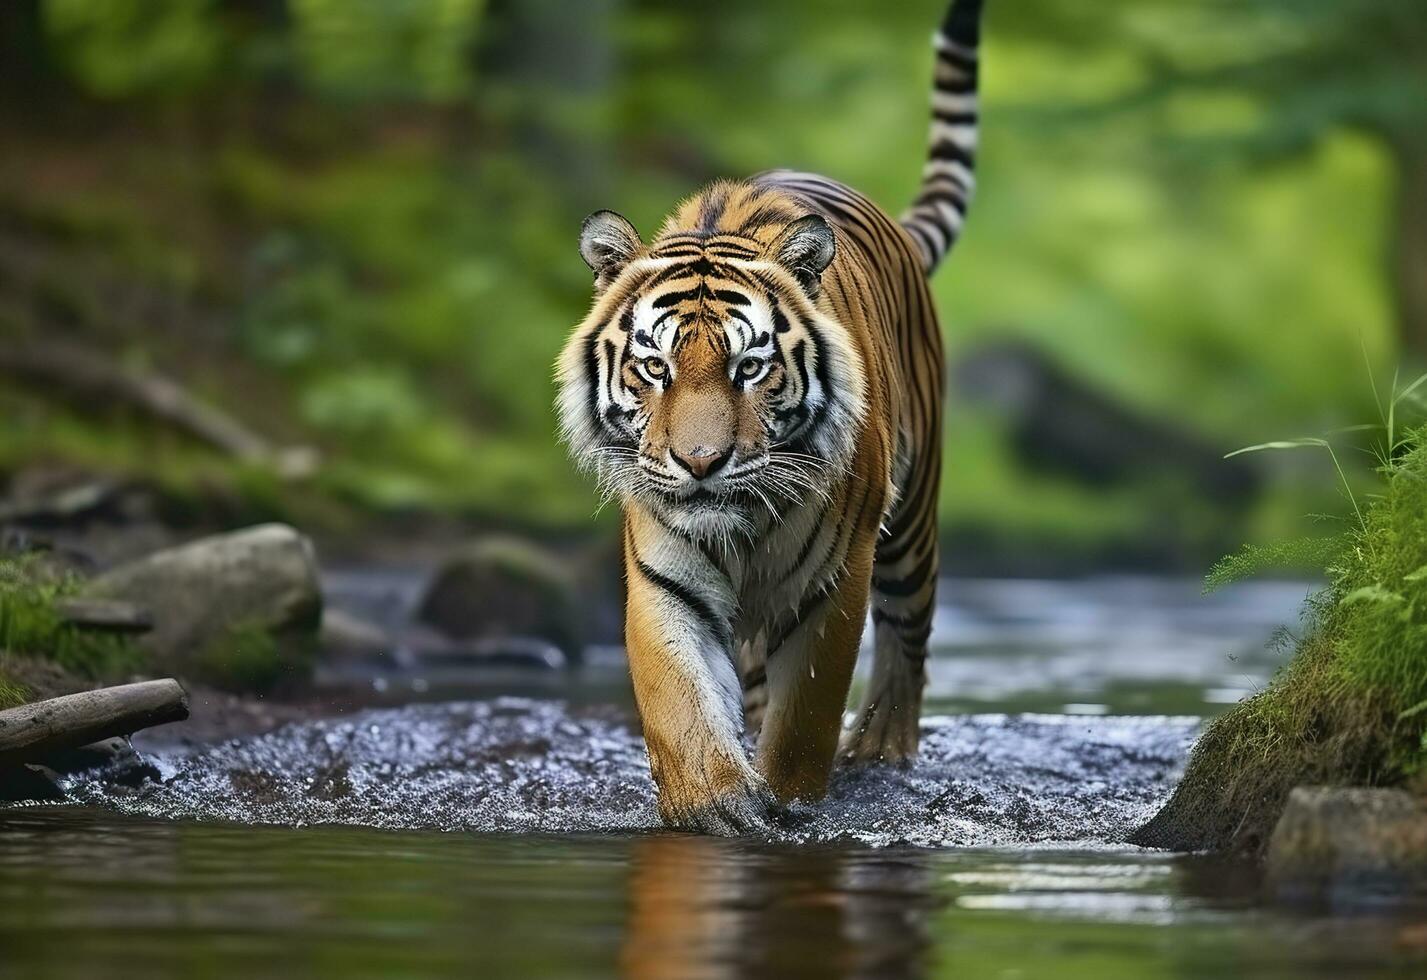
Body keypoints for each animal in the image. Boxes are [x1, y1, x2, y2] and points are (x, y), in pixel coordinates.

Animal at [553, 0, 981, 833]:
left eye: (748, 368)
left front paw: (787, 802)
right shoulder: (665, 581)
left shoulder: (832, 586)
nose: (699, 463)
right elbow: (680, 704)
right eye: (654, 367)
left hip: (911, 523)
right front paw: (716, 806)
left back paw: (879, 749)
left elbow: (805, 715)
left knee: (907, 641)